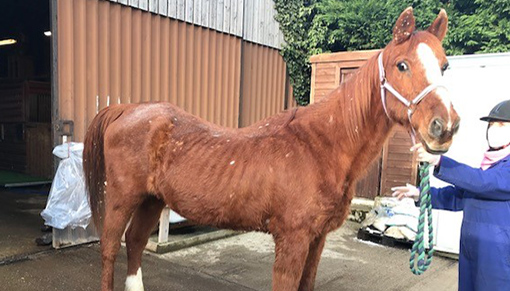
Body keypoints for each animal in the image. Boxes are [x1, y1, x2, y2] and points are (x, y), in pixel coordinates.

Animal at [82, 6, 458, 291]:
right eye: (402, 65)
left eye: (444, 66)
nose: (445, 126)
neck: (321, 146)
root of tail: (127, 109)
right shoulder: (292, 240)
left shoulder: (316, 241)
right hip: (123, 198)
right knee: (111, 248)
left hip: (151, 200)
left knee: (135, 243)